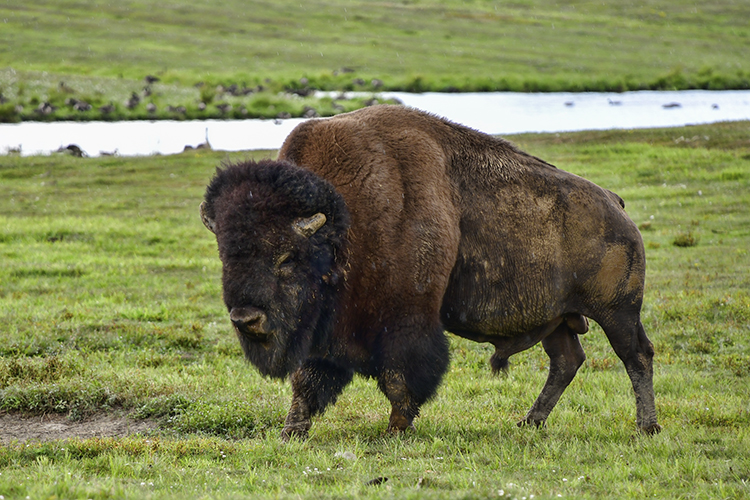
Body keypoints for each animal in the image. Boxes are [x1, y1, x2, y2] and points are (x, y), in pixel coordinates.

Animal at [201, 104, 664, 438]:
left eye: (285, 257)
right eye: (227, 255)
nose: (245, 318)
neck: (345, 221)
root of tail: (615, 204)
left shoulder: (404, 319)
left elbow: (398, 377)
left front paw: (396, 429)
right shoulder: (323, 331)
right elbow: (307, 380)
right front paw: (291, 431)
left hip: (618, 312)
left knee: (636, 355)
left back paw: (646, 427)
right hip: (559, 319)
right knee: (567, 361)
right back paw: (529, 423)